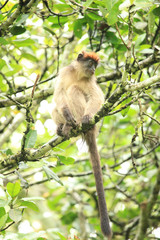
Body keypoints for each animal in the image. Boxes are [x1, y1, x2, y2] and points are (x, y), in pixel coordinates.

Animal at [52, 50, 112, 238]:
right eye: (90, 64)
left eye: (95, 66)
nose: (93, 69)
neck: (78, 74)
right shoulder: (65, 72)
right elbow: (59, 94)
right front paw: (65, 114)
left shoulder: (91, 80)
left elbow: (97, 98)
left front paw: (86, 116)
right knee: (58, 103)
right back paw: (64, 126)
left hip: (91, 125)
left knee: (74, 90)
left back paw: (77, 123)